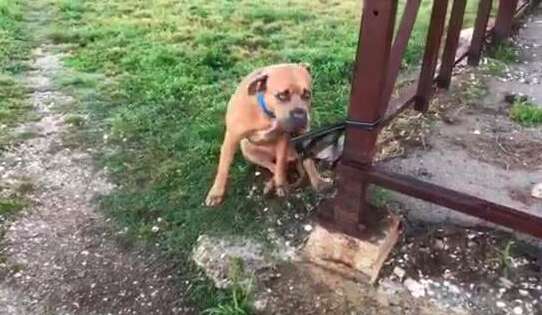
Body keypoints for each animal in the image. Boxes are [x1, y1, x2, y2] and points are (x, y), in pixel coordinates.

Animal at [207, 64, 332, 207]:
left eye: (307, 95)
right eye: (282, 95)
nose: (300, 115)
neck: (268, 113)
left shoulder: (283, 137)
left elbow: (281, 163)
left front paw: (281, 184)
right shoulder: (231, 138)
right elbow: (223, 168)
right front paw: (216, 193)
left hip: (304, 136)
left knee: (301, 161)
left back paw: (318, 182)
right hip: (246, 147)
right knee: (273, 166)